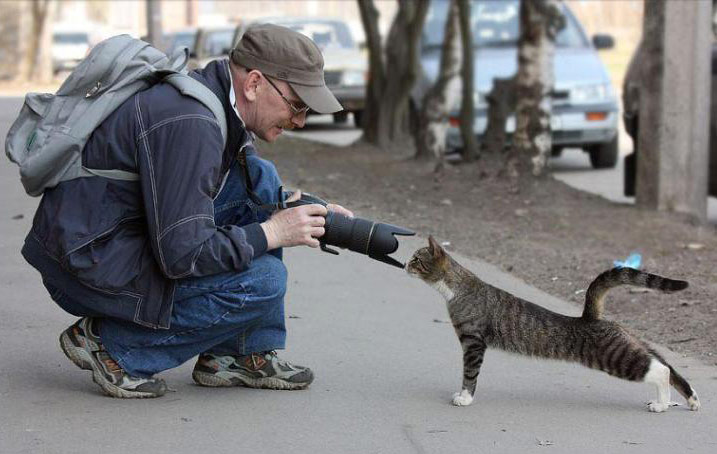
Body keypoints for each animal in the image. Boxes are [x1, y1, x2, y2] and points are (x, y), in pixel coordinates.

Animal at [406, 236, 704, 414]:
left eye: (417, 259)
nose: (405, 265)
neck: (458, 287)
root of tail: (591, 317)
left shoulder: (473, 343)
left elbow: (469, 375)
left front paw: (464, 398)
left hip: (616, 357)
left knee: (660, 371)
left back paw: (662, 405)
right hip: (632, 343)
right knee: (667, 366)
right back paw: (689, 400)